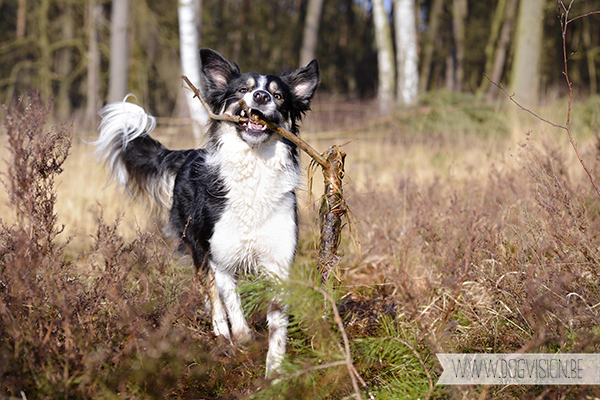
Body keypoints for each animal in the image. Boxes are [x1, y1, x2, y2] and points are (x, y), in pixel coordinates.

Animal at [94, 48, 318, 376]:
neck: (254, 169)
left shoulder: (278, 260)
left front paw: (275, 372)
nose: (261, 96)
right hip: (197, 243)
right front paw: (241, 337)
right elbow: (230, 301)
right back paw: (221, 334)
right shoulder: (219, 254)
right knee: (210, 291)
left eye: (278, 96)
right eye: (242, 90)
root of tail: (188, 154)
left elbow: (277, 323)